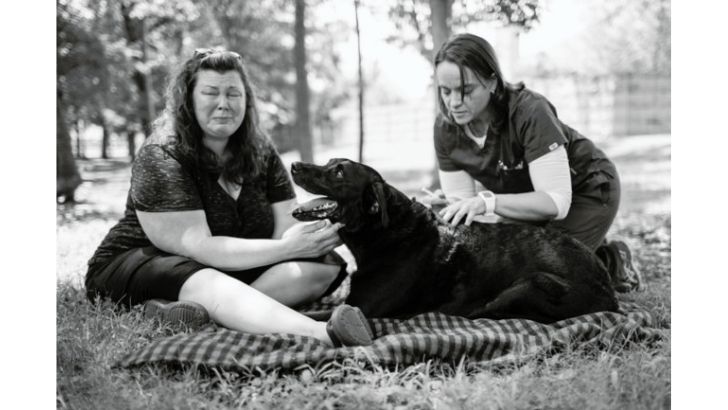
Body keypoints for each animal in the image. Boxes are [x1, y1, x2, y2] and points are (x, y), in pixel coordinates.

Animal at [290, 158, 619, 323]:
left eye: (338, 172)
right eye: (329, 162)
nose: (294, 164)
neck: (384, 232)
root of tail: (610, 294)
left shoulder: (360, 307)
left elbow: (312, 315)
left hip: (530, 283)